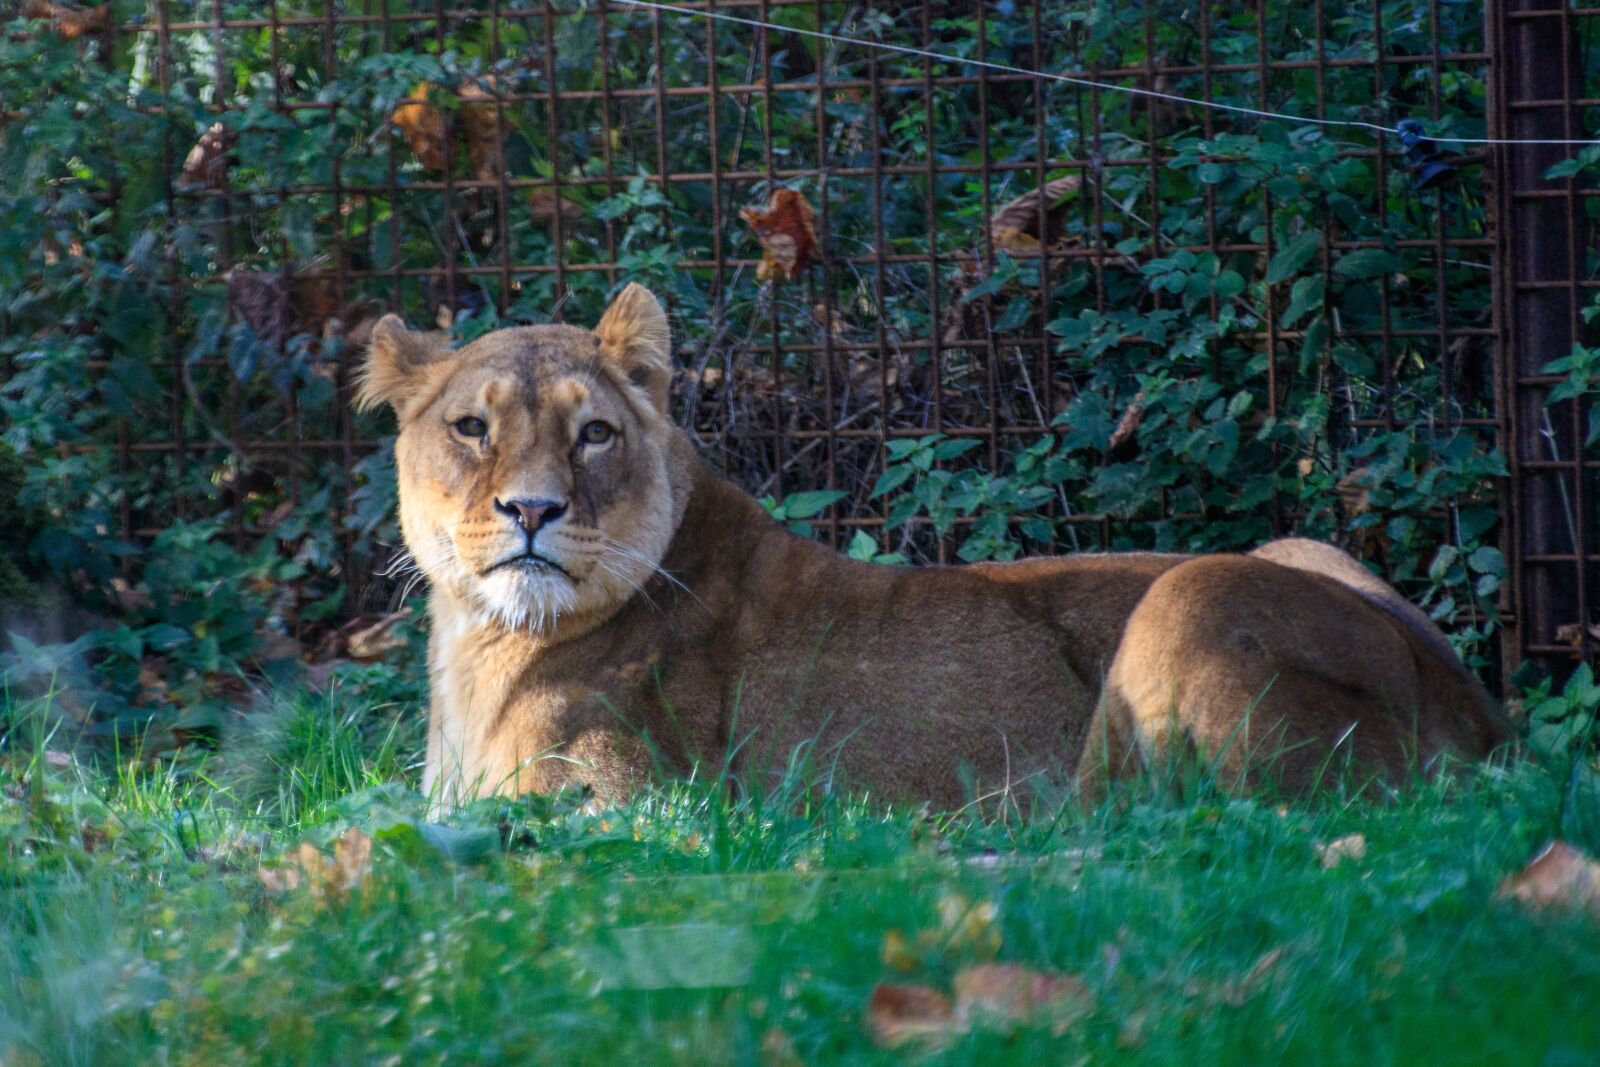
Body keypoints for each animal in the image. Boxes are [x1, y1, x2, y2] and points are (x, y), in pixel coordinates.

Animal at [356, 284, 1512, 811]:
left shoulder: (640, 800)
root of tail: (1476, 720)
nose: (534, 510)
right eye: (472, 427)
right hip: (1300, 539)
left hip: (1186, 600)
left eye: (594, 432)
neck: (480, 640)